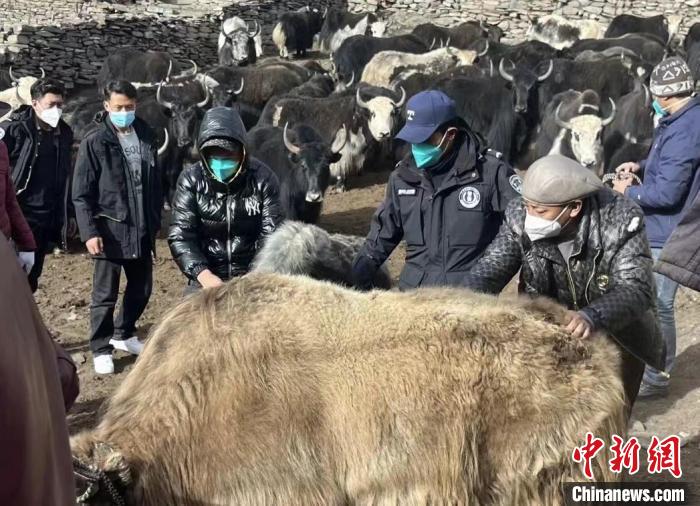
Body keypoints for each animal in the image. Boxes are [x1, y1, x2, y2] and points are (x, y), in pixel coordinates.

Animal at [259, 85, 406, 190]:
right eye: (372, 113)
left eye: (392, 113)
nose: (384, 133)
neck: (356, 119)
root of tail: (274, 106)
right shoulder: (342, 145)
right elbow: (341, 166)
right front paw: (340, 186)